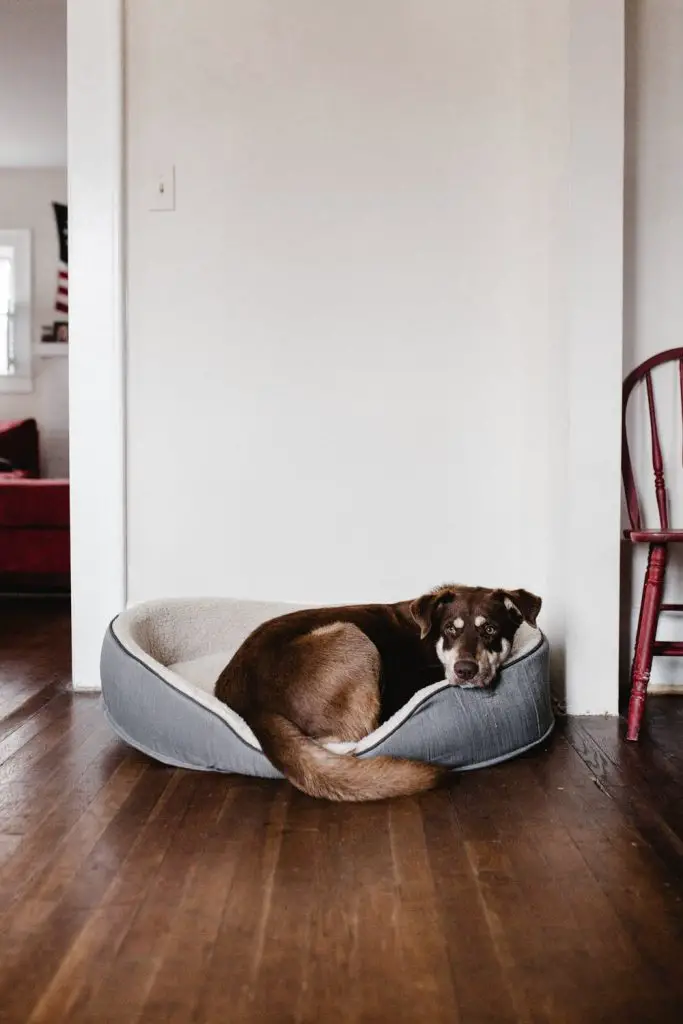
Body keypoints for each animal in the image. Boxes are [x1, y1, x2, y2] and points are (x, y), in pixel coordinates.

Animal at [216, 585, 540, 798]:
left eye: (490, 629)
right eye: (450, 629)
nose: (465, 670)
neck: (431, 641)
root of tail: (249, 706)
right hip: (352, 636)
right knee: (356, 736)